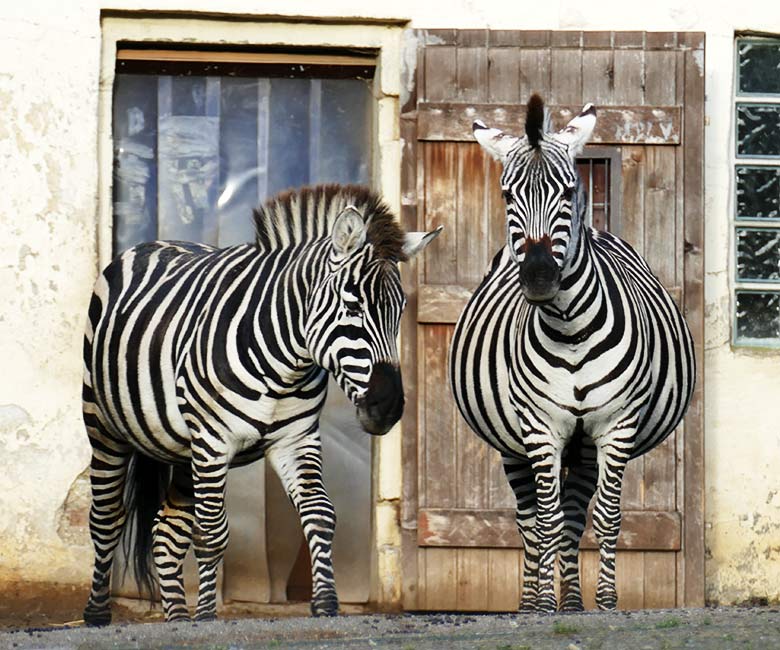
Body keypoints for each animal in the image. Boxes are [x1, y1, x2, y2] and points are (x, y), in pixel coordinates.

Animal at [84, 182, 444, 624]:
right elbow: (213, 533)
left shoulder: (296, 439)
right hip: (104, 425)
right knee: (106, 518)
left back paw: (178, 618)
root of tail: (155, 242)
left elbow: (320, 514)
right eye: (353, 306)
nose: (388, 406)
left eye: (402, 310)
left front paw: (326, 603)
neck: (285, 360)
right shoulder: (213, 442)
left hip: (184, 451)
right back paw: (98, 612)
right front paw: (207, 616)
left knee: (167, 529)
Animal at [448, 93, 696, 612]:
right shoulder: (540, 427)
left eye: (567, 191)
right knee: (529, 521)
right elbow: (547, 521)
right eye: (507, 197)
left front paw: (605, 601)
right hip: (514, 444)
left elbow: (604, 517)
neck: (570, 330)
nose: (540, 277)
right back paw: (531, 603)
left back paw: (576, 602)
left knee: (577, 516)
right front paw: (544, 605)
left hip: (582, 445)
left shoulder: (614, 426)